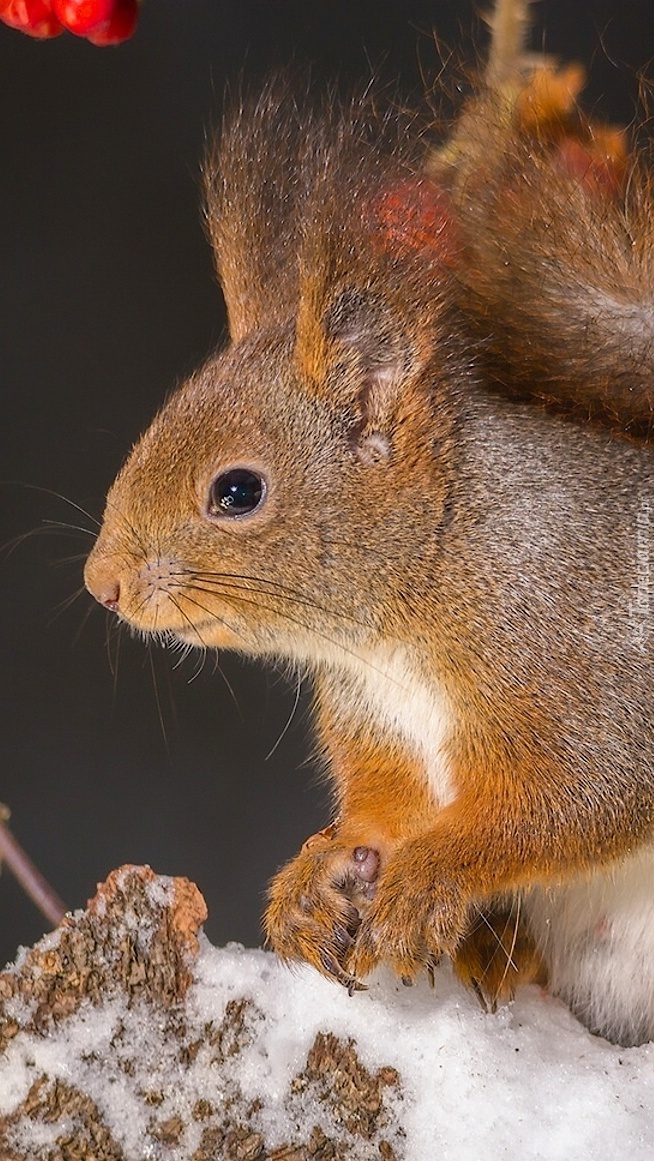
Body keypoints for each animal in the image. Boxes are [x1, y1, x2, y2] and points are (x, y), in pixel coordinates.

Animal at [84, 0, 654, 1049]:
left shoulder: (588, 675)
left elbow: (575, 798)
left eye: (236, 492)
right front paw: (318, 873)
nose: (103, 583)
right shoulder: (382, 727)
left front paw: (438, 871)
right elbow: (383, 811)